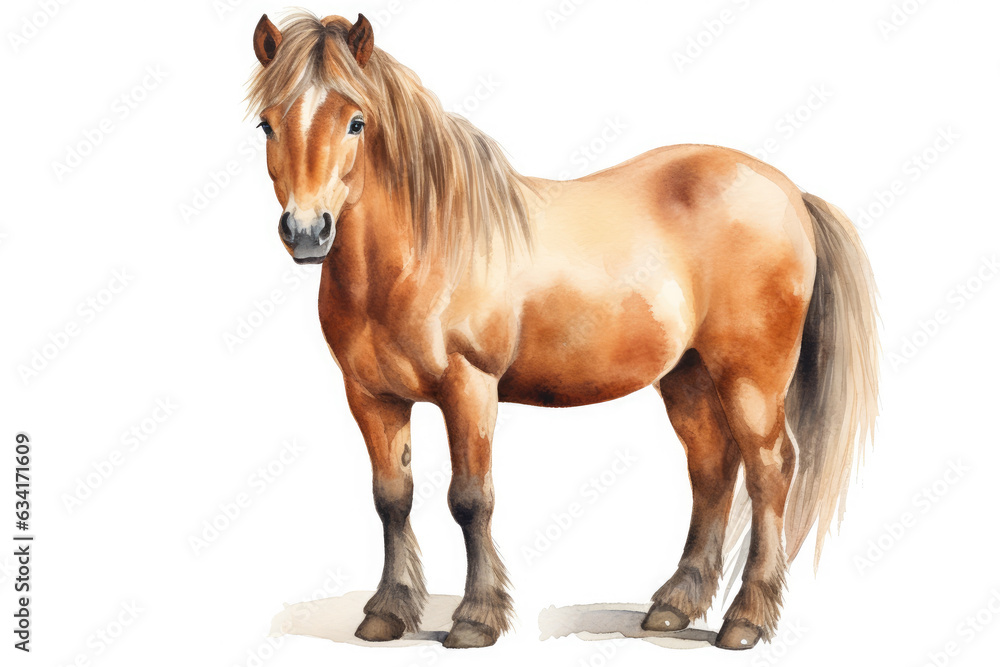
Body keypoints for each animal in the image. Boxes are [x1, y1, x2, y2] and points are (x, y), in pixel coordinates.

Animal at [246, 10, 879, 650]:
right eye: (267, 124)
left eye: (357, 121)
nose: (307, 231)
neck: (420, 252)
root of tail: (788, 192)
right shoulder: (371, 397)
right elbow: (392, 499)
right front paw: (387, 612)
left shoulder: (470, 389)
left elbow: (470, 499)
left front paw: (476, 618)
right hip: (688, 377)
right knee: (712, 470)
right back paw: (674, 605)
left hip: (751, 377)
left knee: (770, 472)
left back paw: (745, 620)